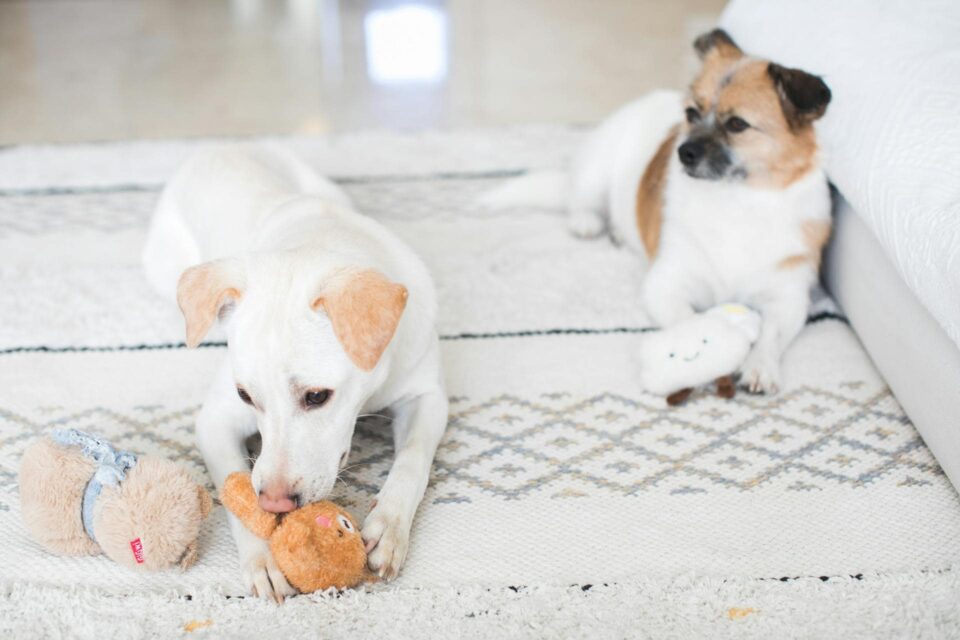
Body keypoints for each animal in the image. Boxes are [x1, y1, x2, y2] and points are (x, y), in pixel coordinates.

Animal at [141, 145, 448, 600]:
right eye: (246, 396)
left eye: (317, 396)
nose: (275, 503)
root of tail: (221, 147)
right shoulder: (214, 420)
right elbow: (235, 487)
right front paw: (261, 559)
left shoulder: (427, 395)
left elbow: (413, 459)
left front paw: (388, 527)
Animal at [484, 30, 836, 396]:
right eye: (691, 113)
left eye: (738, 124)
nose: (684, 152)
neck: (736, 200)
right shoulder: (665, 284)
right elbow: (691, 322)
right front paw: (710, 348)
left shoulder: (789, 299)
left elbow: (771, 334)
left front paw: (759, 366)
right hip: (596, 171)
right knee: (579, 199)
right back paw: (588, 222)